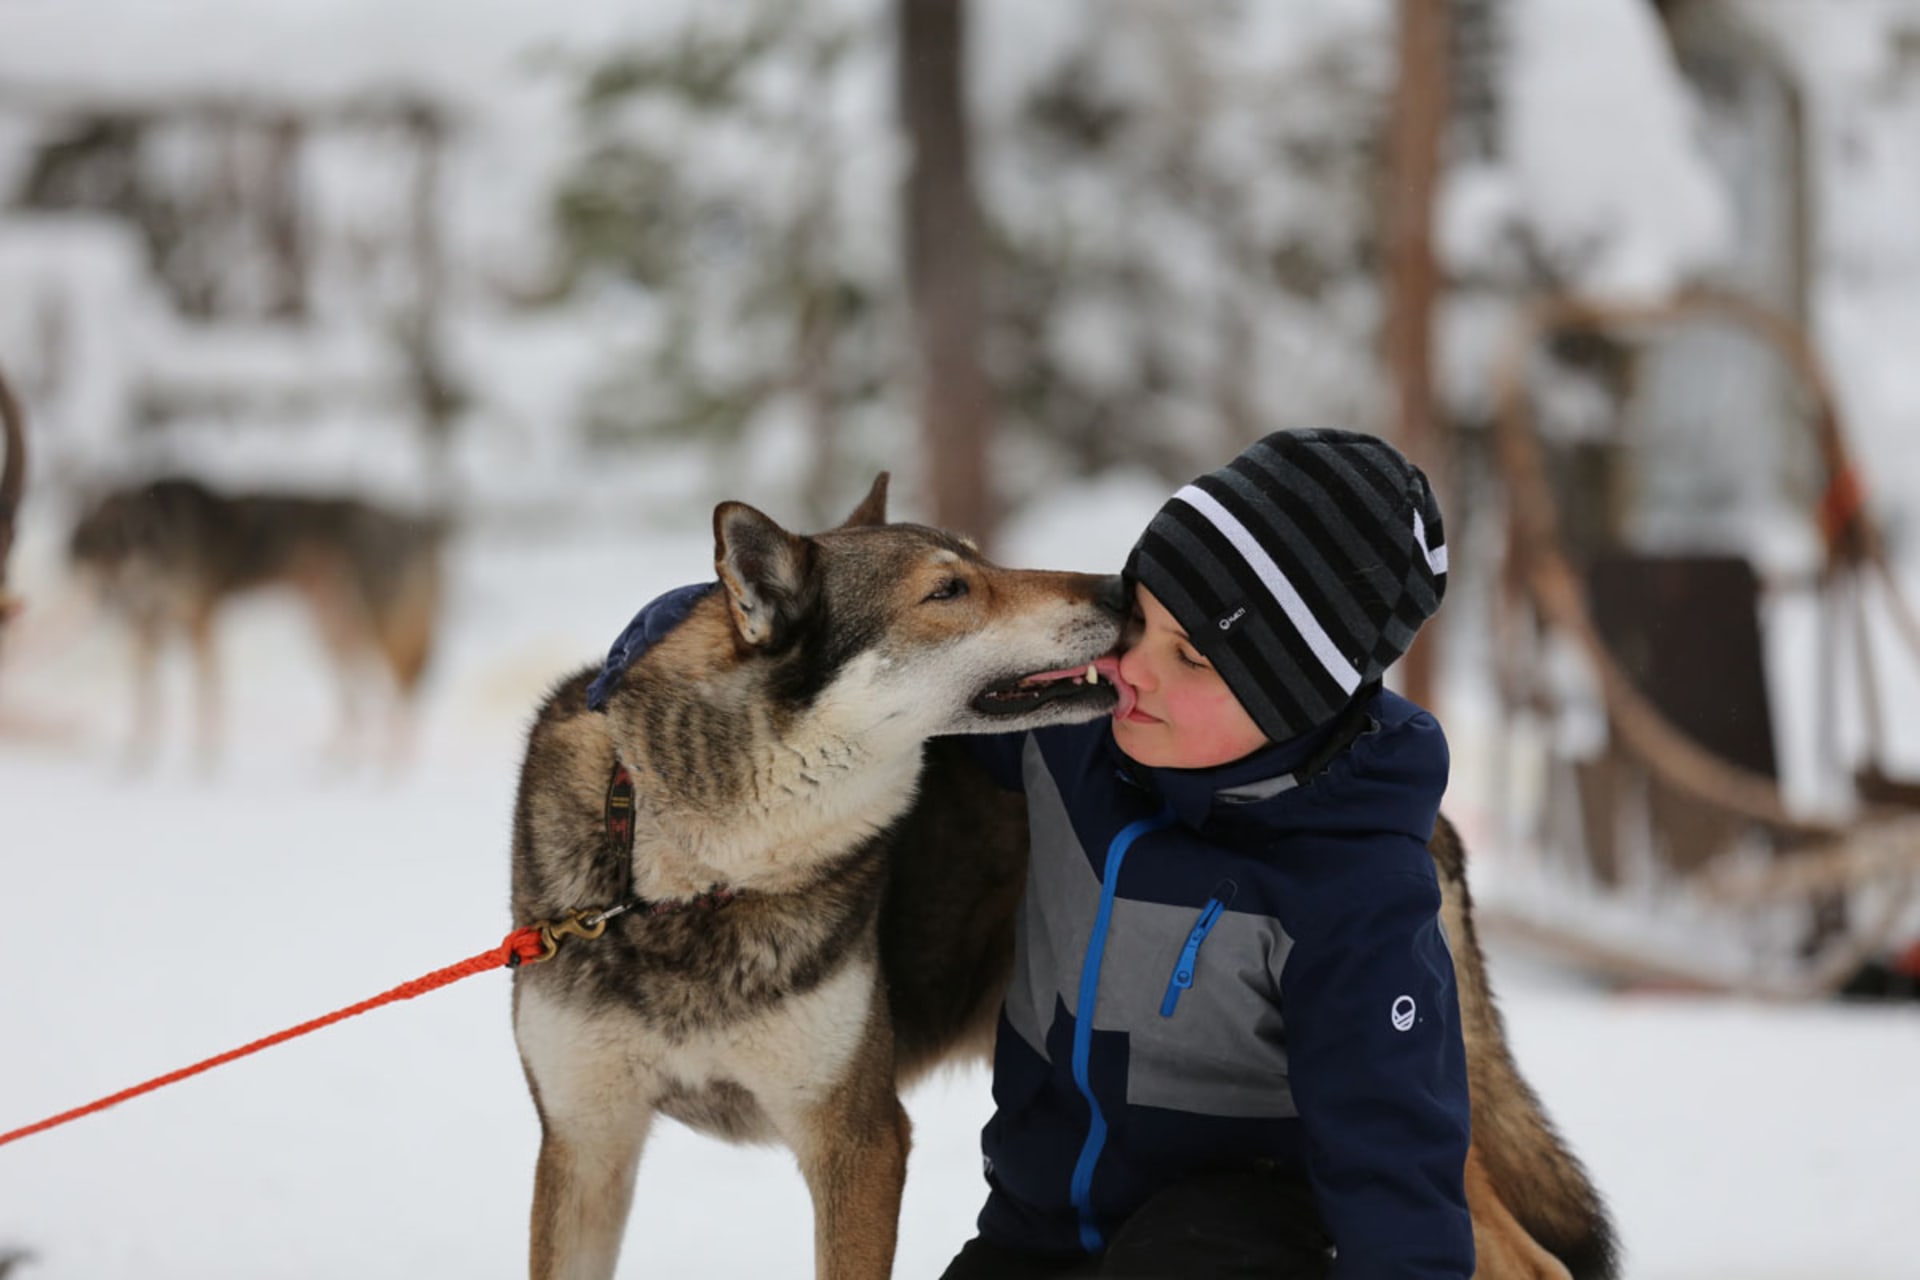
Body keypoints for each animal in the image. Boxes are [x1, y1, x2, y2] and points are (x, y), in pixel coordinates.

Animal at [67, 475, 449, 767]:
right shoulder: (146, 633)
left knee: (397, 700)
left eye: (121, 556)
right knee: (362, 709)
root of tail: (412, 525)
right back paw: (342, 766)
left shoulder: (201, 625)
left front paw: (203, 766)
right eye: (94, 558)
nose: (111, 604)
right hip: (333, 636)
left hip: (373, 635)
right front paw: (137, 764)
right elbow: (148, 709)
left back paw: (391, 770)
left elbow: (205, 702)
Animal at [510, 477, 1605, 1280]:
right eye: (950, 591)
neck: (692, 881)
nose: (1121, 591)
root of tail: (1433, 821)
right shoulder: (586, 1145)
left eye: (985, 560)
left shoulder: (858, 1140)